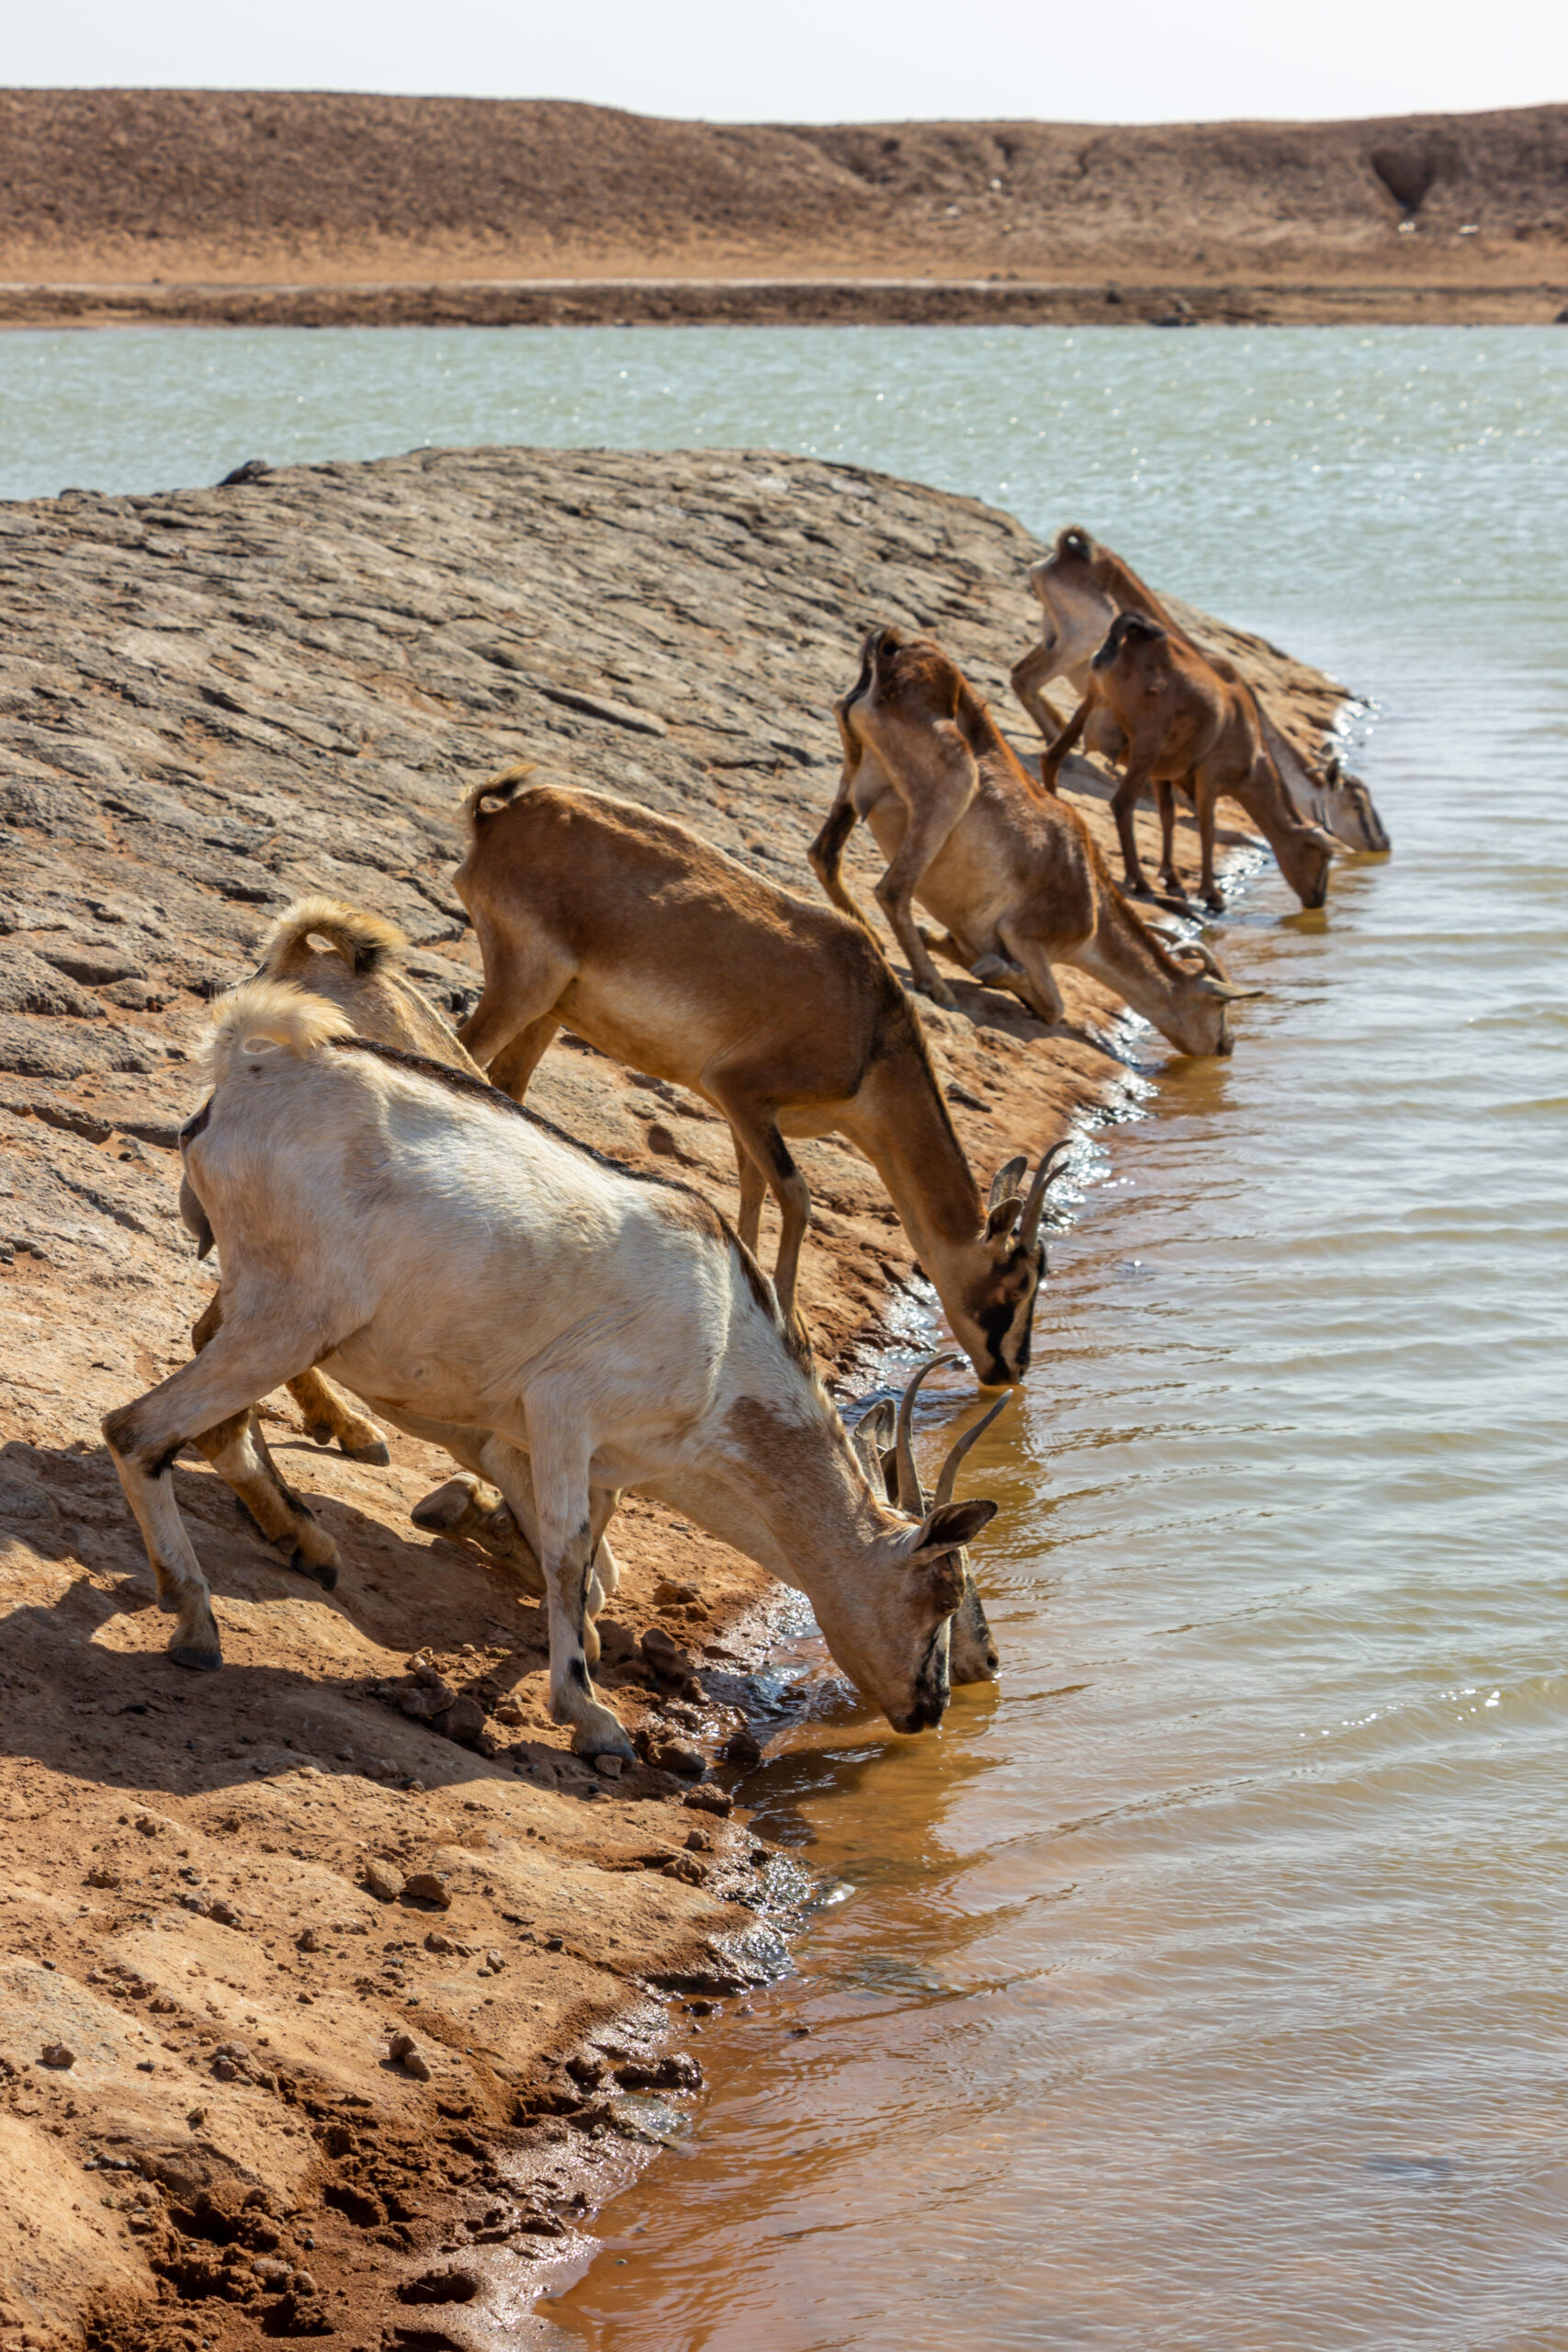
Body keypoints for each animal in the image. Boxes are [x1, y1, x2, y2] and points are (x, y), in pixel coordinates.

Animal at [104, 983, 1001, 1758]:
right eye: (945, 1590)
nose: (933, 1706)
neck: (722, 1346)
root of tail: (247, 1075)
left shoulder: (600, 1459)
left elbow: (589, 1561)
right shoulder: (564, 1408)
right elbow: (571, 1556)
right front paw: (592, 1718)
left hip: (264, 1310)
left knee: (205, 1407)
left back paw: (290, 1552)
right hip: (293, 1317)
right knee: (137, 1428)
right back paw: (197, 1623)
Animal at [453, 771, 1066, 1392]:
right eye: (1017, 1282)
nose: (1012, 1369)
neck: (870, 1029)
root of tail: (504, 816)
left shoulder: (743, 1113)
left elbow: (753, 1187)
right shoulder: (739, 1088)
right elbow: (796, 1194)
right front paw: (791, 1320)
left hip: (551, 1009)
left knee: (507, 1081)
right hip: (525, 984)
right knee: (465, 1050)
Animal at [818, 630, 1259, 1063]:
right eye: (1219, 1007)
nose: (1227, 1046)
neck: (1092, 898)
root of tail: (890, 654)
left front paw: (941, 942)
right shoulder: (1025, 931)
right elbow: (1054, 1006)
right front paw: (994, 972)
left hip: (854, 771)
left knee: (824, 854)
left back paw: (871, 938)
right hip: (952, 787)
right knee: (892, 889)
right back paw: (937, 986)